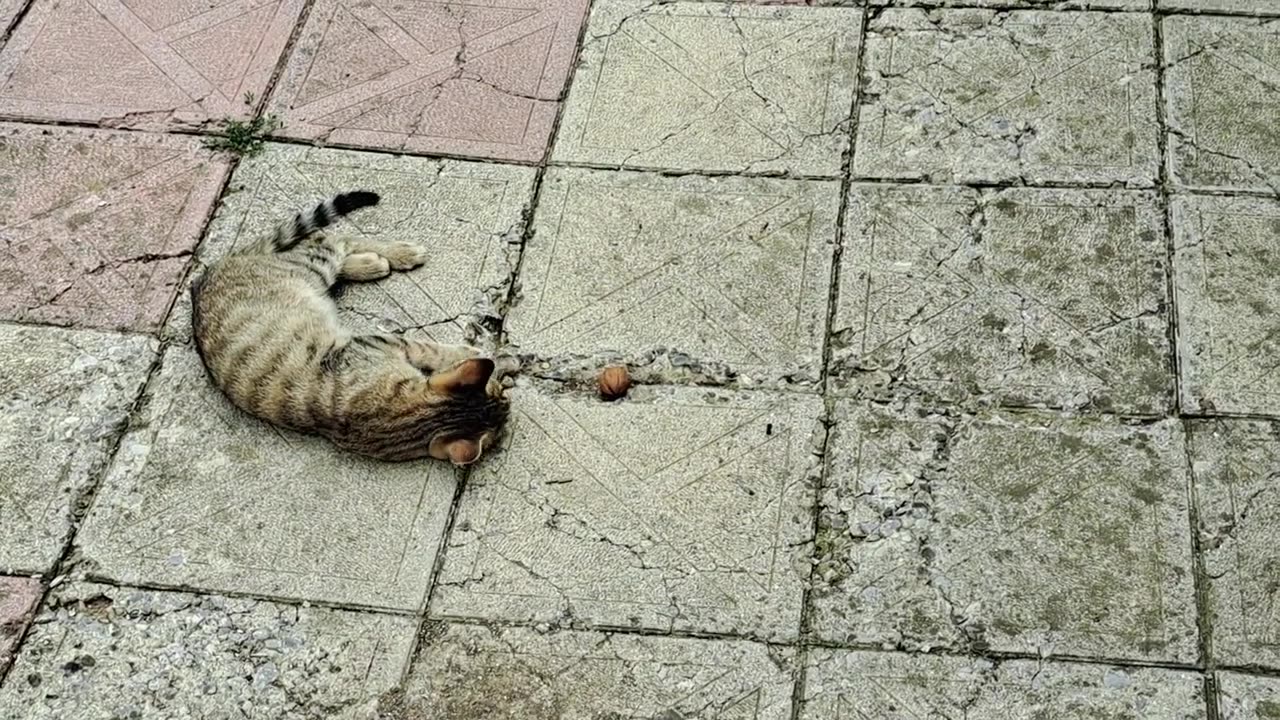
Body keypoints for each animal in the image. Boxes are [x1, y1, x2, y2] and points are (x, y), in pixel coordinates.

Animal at [189, 188, 509, 461]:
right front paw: (470, 352)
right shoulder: (377, 343)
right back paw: (388, 258)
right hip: (314, 265)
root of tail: (210, 271)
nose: (508, 405)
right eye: (499, 393)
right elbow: (429, 348)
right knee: (334, 239)